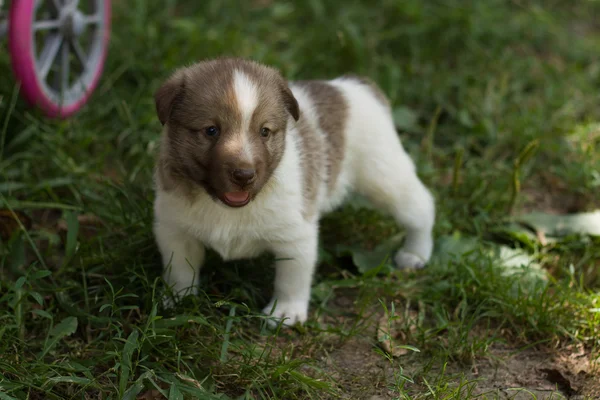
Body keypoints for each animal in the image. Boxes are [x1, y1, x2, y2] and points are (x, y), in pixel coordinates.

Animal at [152, 58, 434, 324]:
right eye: (211, 130)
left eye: (264, 132)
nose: (244, 175)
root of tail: (354, 86)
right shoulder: (175, 230)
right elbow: (179, 269)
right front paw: (177, 299)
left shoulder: (296, 237)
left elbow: (292, 279)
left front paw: (286, 312)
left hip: (385, 175)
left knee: (421, 206)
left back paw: (415, 252)